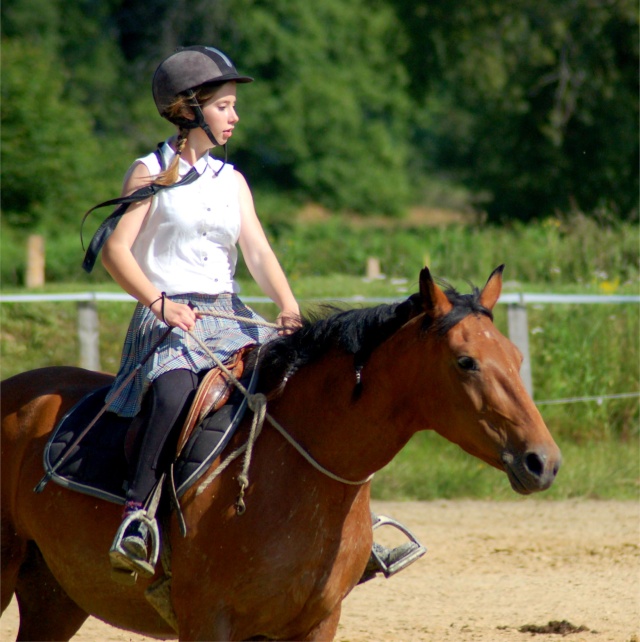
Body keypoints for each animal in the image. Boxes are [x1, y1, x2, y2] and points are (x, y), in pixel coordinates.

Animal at [1, 266, 560, 640]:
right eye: (466, 362)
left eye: (515, 357)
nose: (543, 462)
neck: (299, 476)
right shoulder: (207, 621)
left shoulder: (315, 623)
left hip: (56, 596)